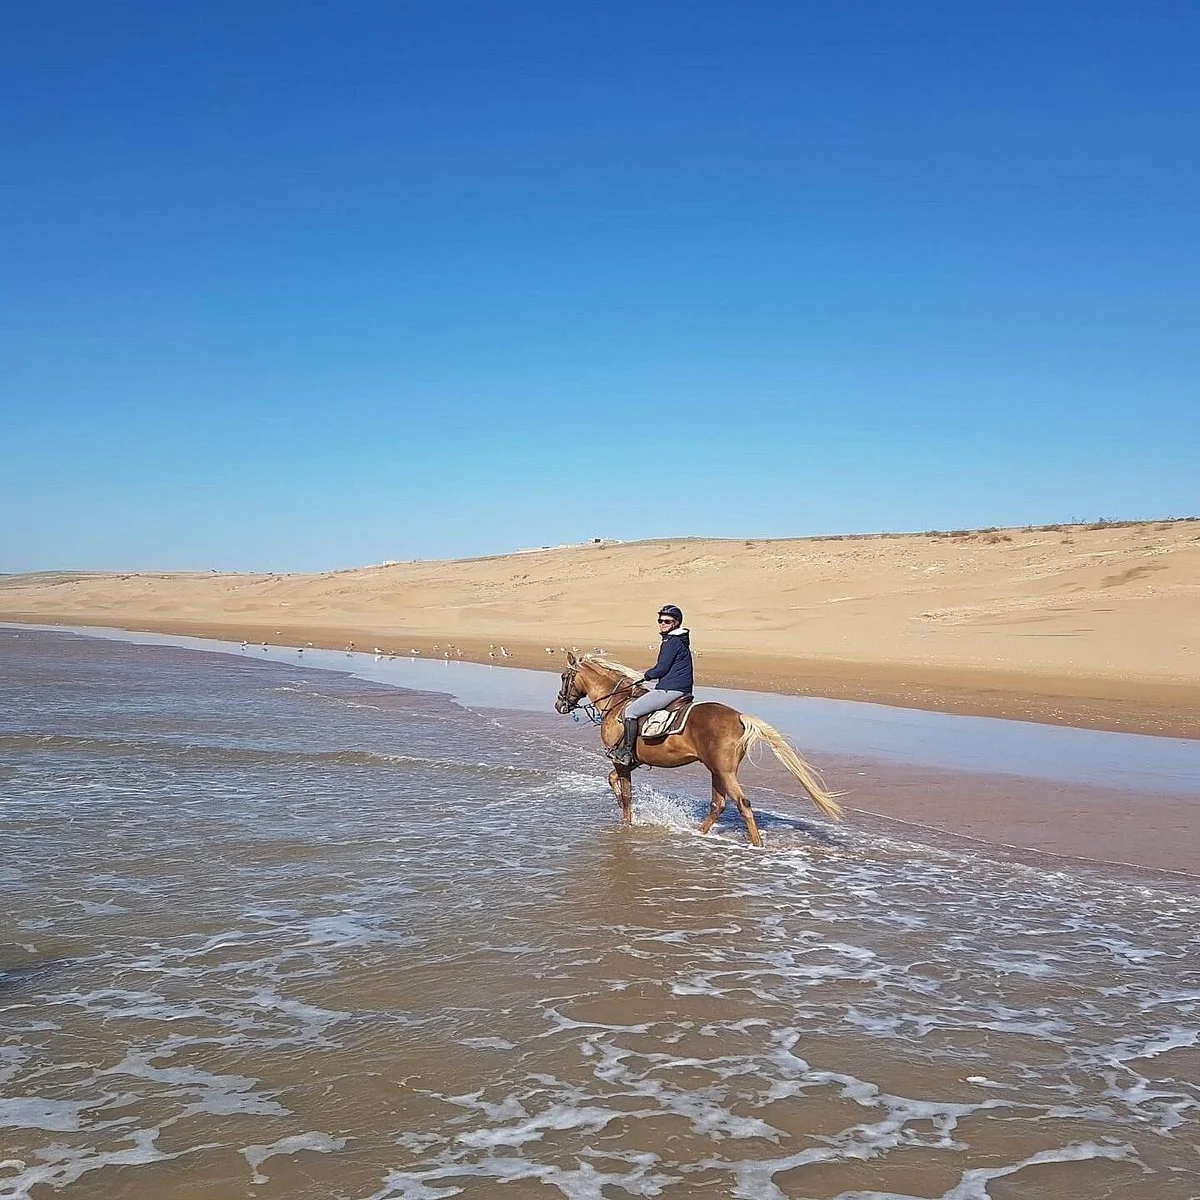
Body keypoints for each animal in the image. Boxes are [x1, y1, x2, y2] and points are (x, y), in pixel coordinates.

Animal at [555, 652, 842, 847]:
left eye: (564, 677)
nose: (559, 705)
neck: (616, 704)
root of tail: (739, 717)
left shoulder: (621, 760)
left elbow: (626, 795)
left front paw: (626, 825)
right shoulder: (629, 762)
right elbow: (613, 781)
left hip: (724, 771)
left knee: (742, 803)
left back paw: (756, 845)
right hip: (716, 770)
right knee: (718, 804)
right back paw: (700, 832)